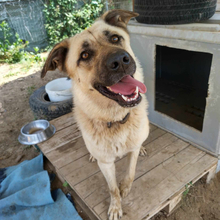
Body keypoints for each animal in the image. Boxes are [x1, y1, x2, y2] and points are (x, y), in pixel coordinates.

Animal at [41, 9, 150, 220]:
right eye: (84, 55)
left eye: (115, 38)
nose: (120, 61)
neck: (116, 119)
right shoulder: (106, 163)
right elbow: (112, 188)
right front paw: (115, 206)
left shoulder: (131, 151)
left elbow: (131, 172)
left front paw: (126, 187)